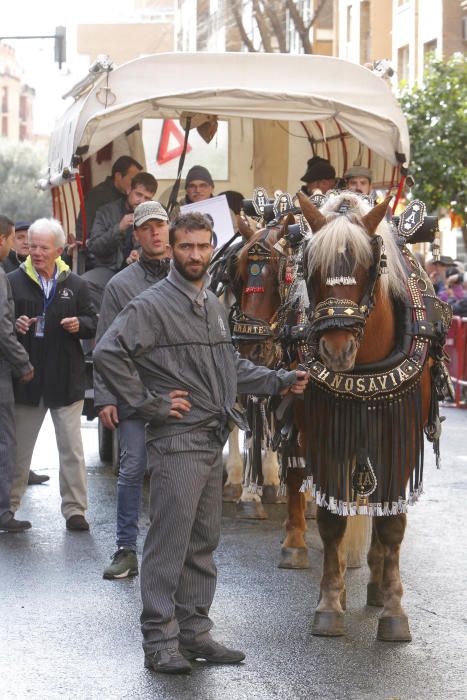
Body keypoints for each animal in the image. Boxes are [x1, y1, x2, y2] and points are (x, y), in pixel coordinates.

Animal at [238, 190, 446, 640]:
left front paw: (393, 607)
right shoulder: (322, 431)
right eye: (310, 269)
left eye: (369, 267)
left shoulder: (399, 434)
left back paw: (376, 581)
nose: (335, 350)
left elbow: (391, 521)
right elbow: (333, 518)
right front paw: (331, 601)